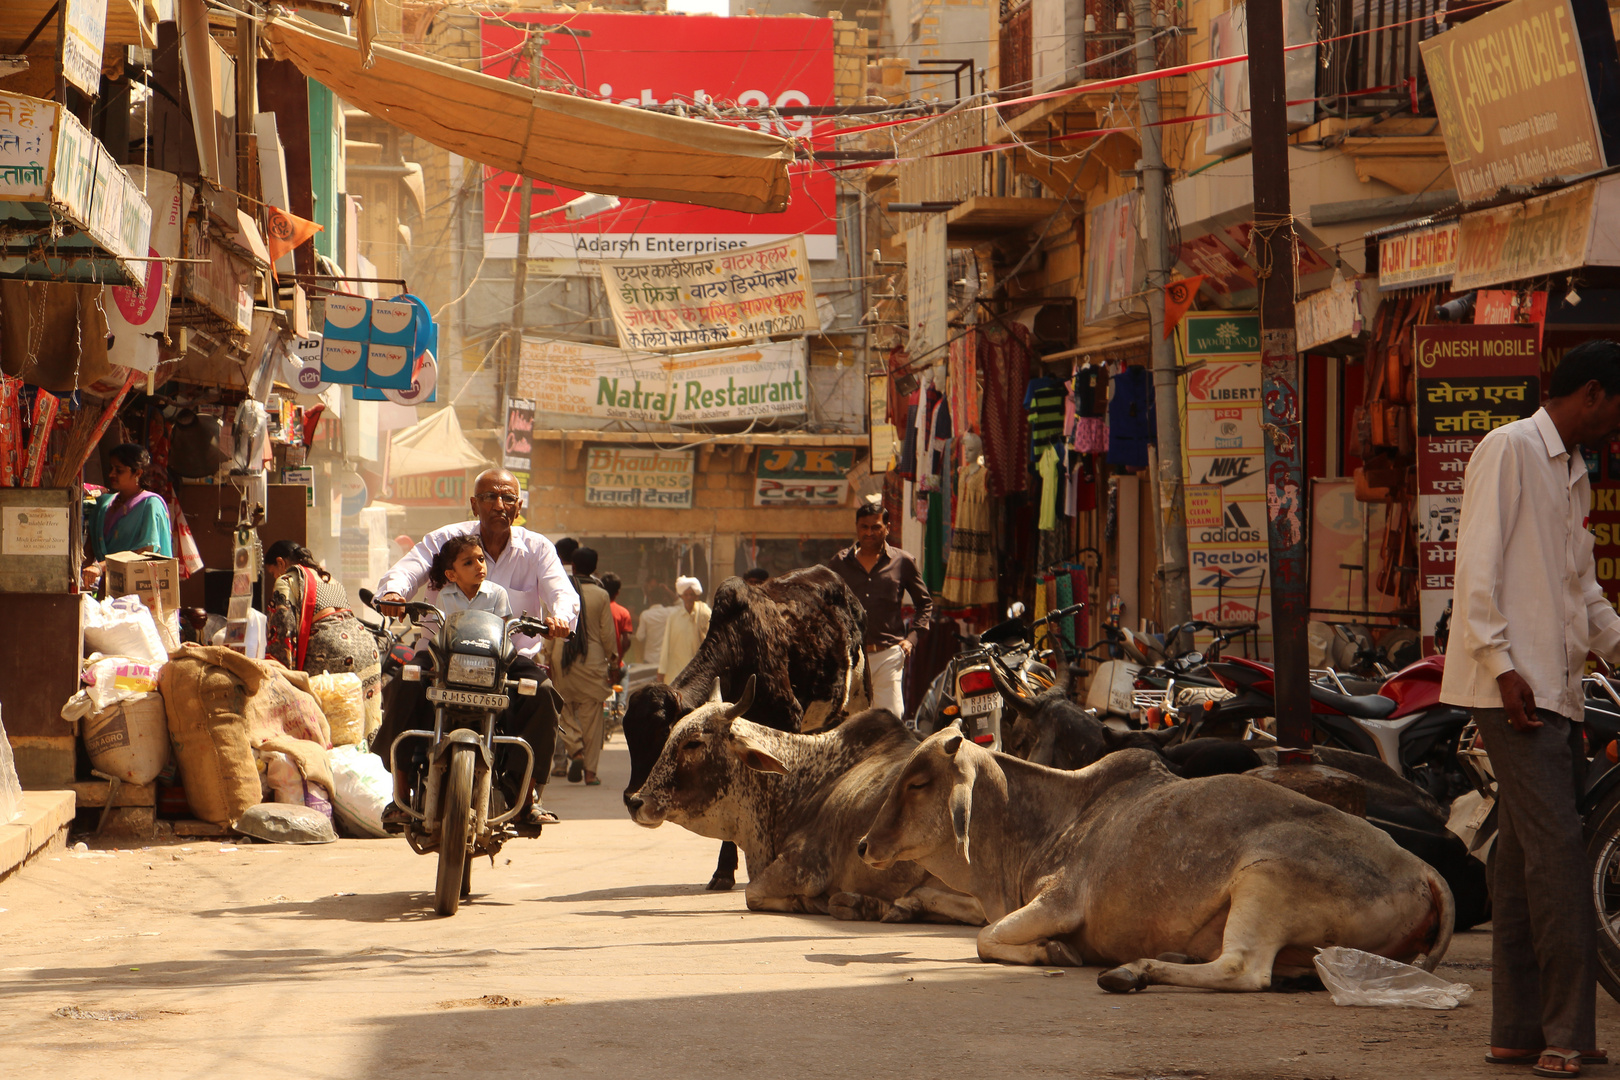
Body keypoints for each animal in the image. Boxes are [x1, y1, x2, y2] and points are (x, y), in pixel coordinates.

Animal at [625, 563, 868, 893]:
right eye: (627, 735)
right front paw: (724, 870)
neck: (739, 651)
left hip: (856, 699)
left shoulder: (785, 723)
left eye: (664, 733)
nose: (631, 798)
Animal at [861, 731, 1458, 990]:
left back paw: (1134, 970)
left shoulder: (1061, 901)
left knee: (1244, 969)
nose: (865, 846)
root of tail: (1424, 871)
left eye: (918, 783)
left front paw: (1053, 951)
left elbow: (986, 941)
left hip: (1266, 879)